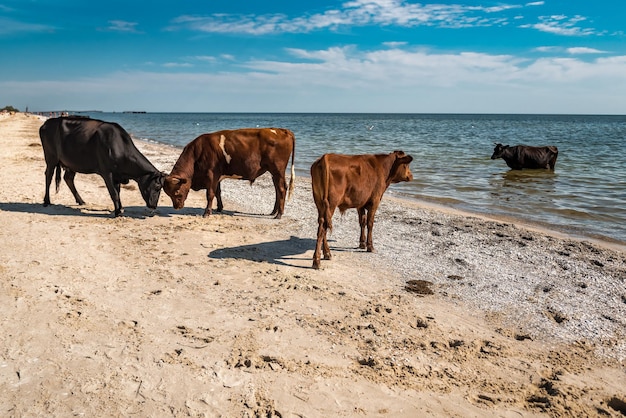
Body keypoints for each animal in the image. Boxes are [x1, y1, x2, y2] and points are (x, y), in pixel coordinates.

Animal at [38, 116, 166, 217]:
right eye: (157, 187)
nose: (154, 206)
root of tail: (47, 123)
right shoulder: (107, 172)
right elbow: (114, 193)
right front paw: (117, 213)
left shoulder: (117, 175)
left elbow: (118, 192)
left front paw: (120, 208)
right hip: (51, 157)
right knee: (48, 176)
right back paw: (46, 201)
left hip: (72, 162)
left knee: (68, 178)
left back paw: (81, 201)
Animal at [163, 127, 294, 219]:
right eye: (168, 194)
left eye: (177, 192)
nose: (177, 207)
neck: (198, 153)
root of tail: (281, 130)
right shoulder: (217, 177)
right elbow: (218, 193)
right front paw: (219, 208)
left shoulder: (211, 174)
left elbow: (210, 194)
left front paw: (207, 212)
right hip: (274, 172)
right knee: (277, 190)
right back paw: (273, 212)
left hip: (277, 170)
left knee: (282, 189)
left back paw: (279, 214)